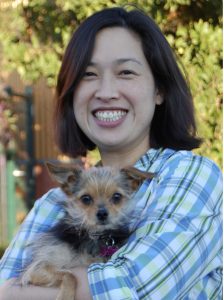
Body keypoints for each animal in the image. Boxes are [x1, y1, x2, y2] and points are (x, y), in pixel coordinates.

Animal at [20, 164, 153, 300]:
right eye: (86, 199)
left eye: (116, 197)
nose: (102, 214)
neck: (94, 235)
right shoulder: (37, 268)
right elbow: (70, 275)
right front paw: (65, 296)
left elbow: (72, 274)